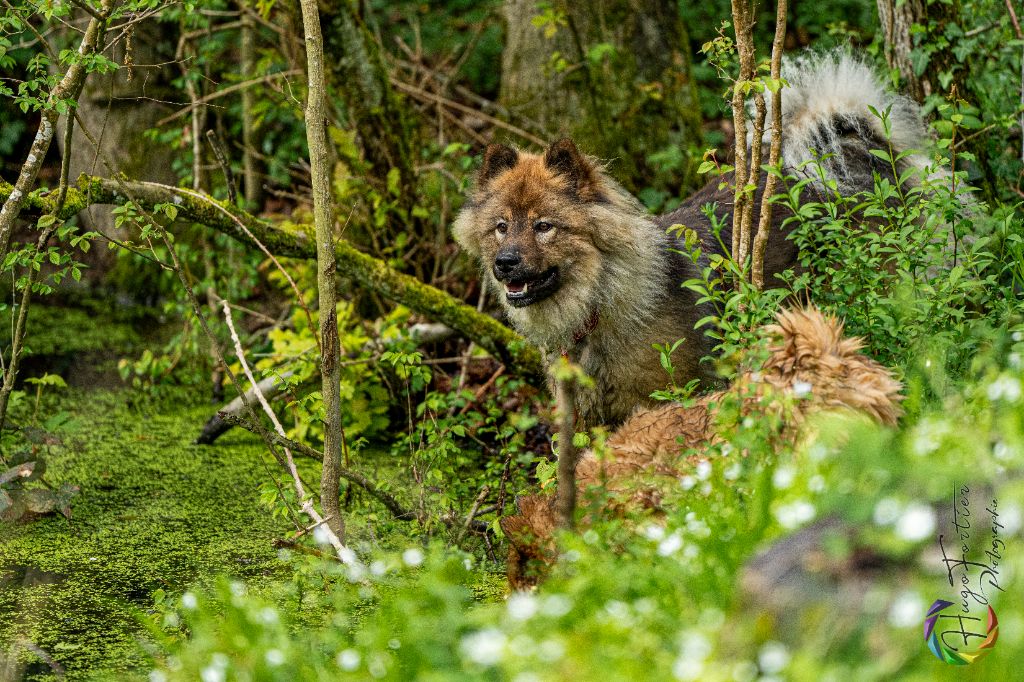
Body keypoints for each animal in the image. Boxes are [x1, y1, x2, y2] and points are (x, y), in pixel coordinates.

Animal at [452, 51, 933, 425]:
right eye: (501, 226)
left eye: (544, 226)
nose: (504, 263)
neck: (600, 304)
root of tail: (856, 152)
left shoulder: (670, 396)